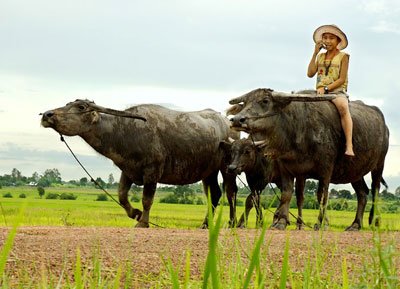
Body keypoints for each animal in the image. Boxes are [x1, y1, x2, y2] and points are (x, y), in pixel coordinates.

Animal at [41, 99, 239, 227]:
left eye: (81, 107)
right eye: (67, 104)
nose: (47, 115)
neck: (125, 132)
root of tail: (229, 124)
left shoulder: (152, 171)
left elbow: (147, 199)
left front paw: (143, 222)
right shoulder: (127, 170)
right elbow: (122, 196)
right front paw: (134, 213)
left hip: (227, 168)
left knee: (230, 192)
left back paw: (232, 223)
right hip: (209, 171)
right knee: (214, 194)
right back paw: (206, 224)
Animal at [230, 88, 390, 230]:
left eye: (265, 101)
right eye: (245, 102)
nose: (237, 120)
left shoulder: (325, 170)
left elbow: (322, 196)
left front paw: (321, 223)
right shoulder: (286, 170)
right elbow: (286, 195)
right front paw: (280, 221)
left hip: (379, 165)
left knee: (375, 190)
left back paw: (375, 221)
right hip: (354, 171)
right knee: (362, 194)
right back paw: (355, 224)